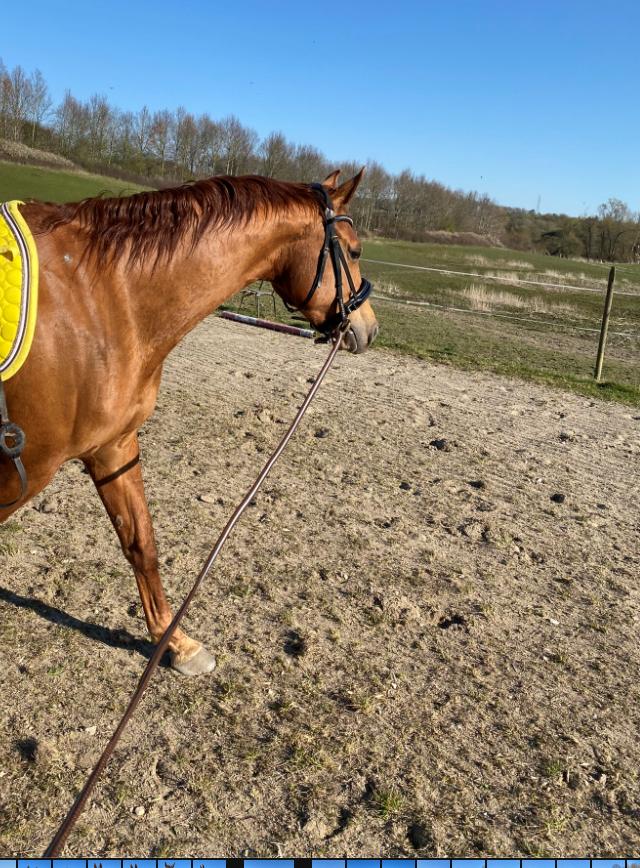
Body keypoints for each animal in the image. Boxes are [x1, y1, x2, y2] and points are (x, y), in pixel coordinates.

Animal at [0, 168, 378, 672]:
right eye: (354, 251)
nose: (369, 328)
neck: (102, 298)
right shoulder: (27, 468)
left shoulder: (113, 446)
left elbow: (141, 543)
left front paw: (175, 643)